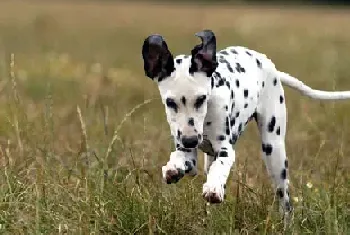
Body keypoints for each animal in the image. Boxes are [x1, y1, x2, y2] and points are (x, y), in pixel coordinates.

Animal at [141, 29, 350, 217]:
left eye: (201, 99)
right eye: (170, 102)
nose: (190, 141)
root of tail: (269, 65)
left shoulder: (225, 148)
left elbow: (221, 165)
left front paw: (214, 188)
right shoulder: (187, 150)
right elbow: (182, 160)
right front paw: (173, 168)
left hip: (274, 152)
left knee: (285, 199)